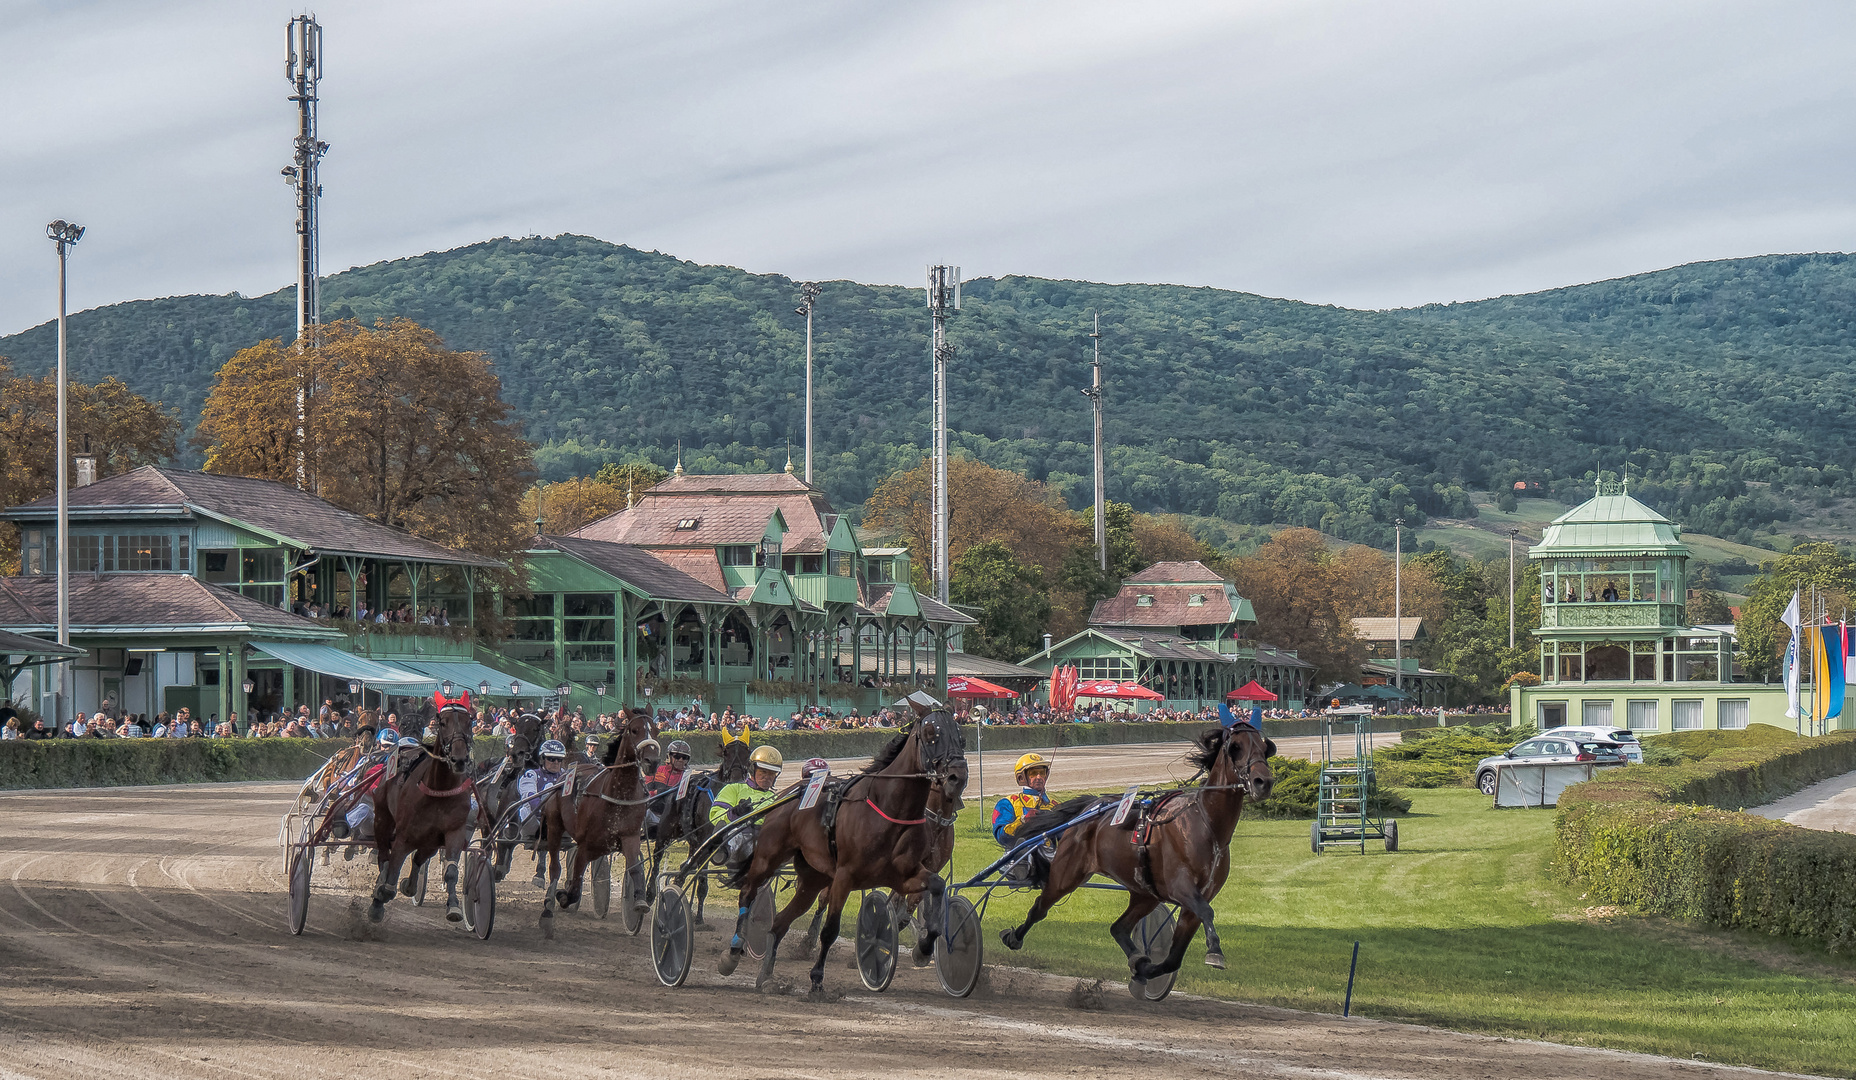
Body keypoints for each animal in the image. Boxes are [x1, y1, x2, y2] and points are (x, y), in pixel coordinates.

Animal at [363, 705, 478, 927]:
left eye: (469, 722)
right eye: (443, 722)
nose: (459, 760)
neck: (439, 788)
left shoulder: (454, 831)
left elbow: (451, 871)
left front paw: (453, 906)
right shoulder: (404, 836)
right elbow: (390, 880)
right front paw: (378, 902)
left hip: (430, 841)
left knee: (418, 858)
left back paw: (409, 885)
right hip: (382, 818)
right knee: (384, 856)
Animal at [538, 712, 660, 938]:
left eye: (655, 730)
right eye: (634, 730)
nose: (652, 761)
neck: (617, 794)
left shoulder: (629, 837)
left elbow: (635, 869)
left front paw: (639, 899)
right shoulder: (585, 844)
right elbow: (574, 886)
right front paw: (563, 896)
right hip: (555, 827)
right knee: (554, 867)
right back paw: (548, 911)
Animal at [645, 731, 746, 927]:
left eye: (748, 751)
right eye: (726, 753)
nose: (737, 777)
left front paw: (697, 915)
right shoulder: (706, 841)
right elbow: (699, 876)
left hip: (692, 840)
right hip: (665, 831)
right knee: (657, 859)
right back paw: (650, 894)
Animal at [712, 716, 965, 994]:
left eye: (961, 737)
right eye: (931, 733)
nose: (957, 778)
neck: (889, 809)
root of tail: (787, 794)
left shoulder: (905, 874)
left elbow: (934, 888)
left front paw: (924, 947)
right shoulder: (845, 876)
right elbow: (831, 929)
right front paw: (817, 978)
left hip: (812, 878)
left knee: (780, 922)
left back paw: (766, 975)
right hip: (768, 858)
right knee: (748, 892)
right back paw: (733, 951)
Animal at [1002, 723, 1276, 994]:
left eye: (1265, 748)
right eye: (1235, 747)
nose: (1263, 782)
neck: (1206, 824)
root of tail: (1091, 808)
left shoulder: (1196, 898)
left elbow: (1173, 958)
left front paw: (1143, 969)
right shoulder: (1181, 887)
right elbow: (1207, 913)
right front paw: (1215, 952)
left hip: (1145, 893)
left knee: (1119, 927)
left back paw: (1137, 958)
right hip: (1066, 875)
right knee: (1039, 908)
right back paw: (1013, 937)